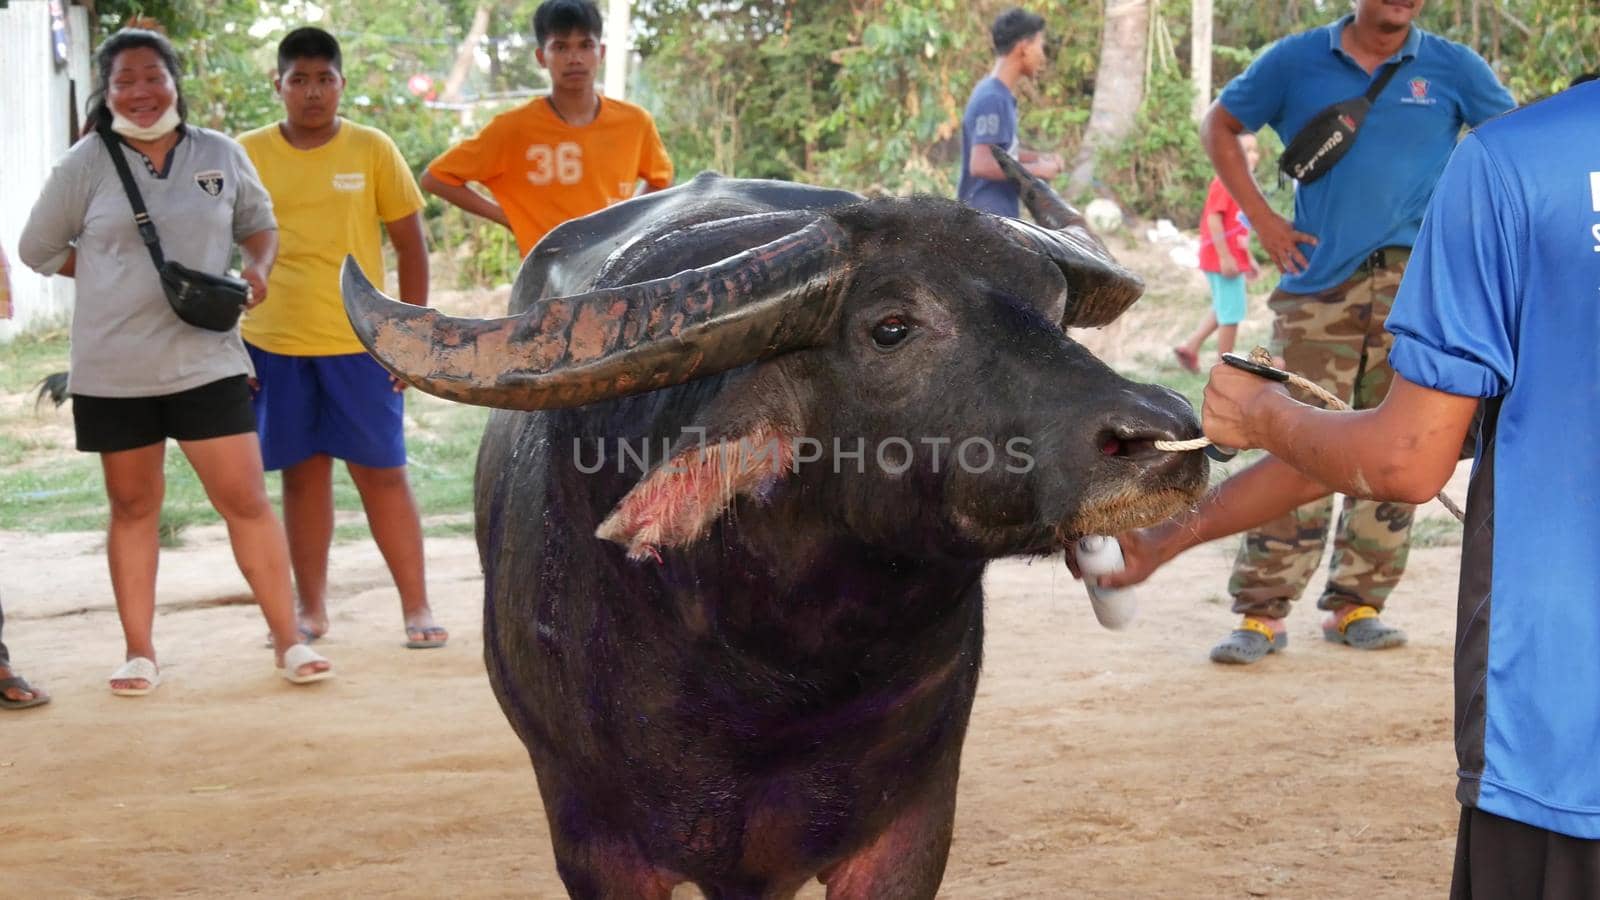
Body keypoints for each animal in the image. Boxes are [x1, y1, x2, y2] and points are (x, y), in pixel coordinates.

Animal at [344, 157, 1203, 890]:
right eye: (891, 326)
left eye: (1055, 306)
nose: (1162, 432)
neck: (775, 678)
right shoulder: (594, 842)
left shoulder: (912, 828)